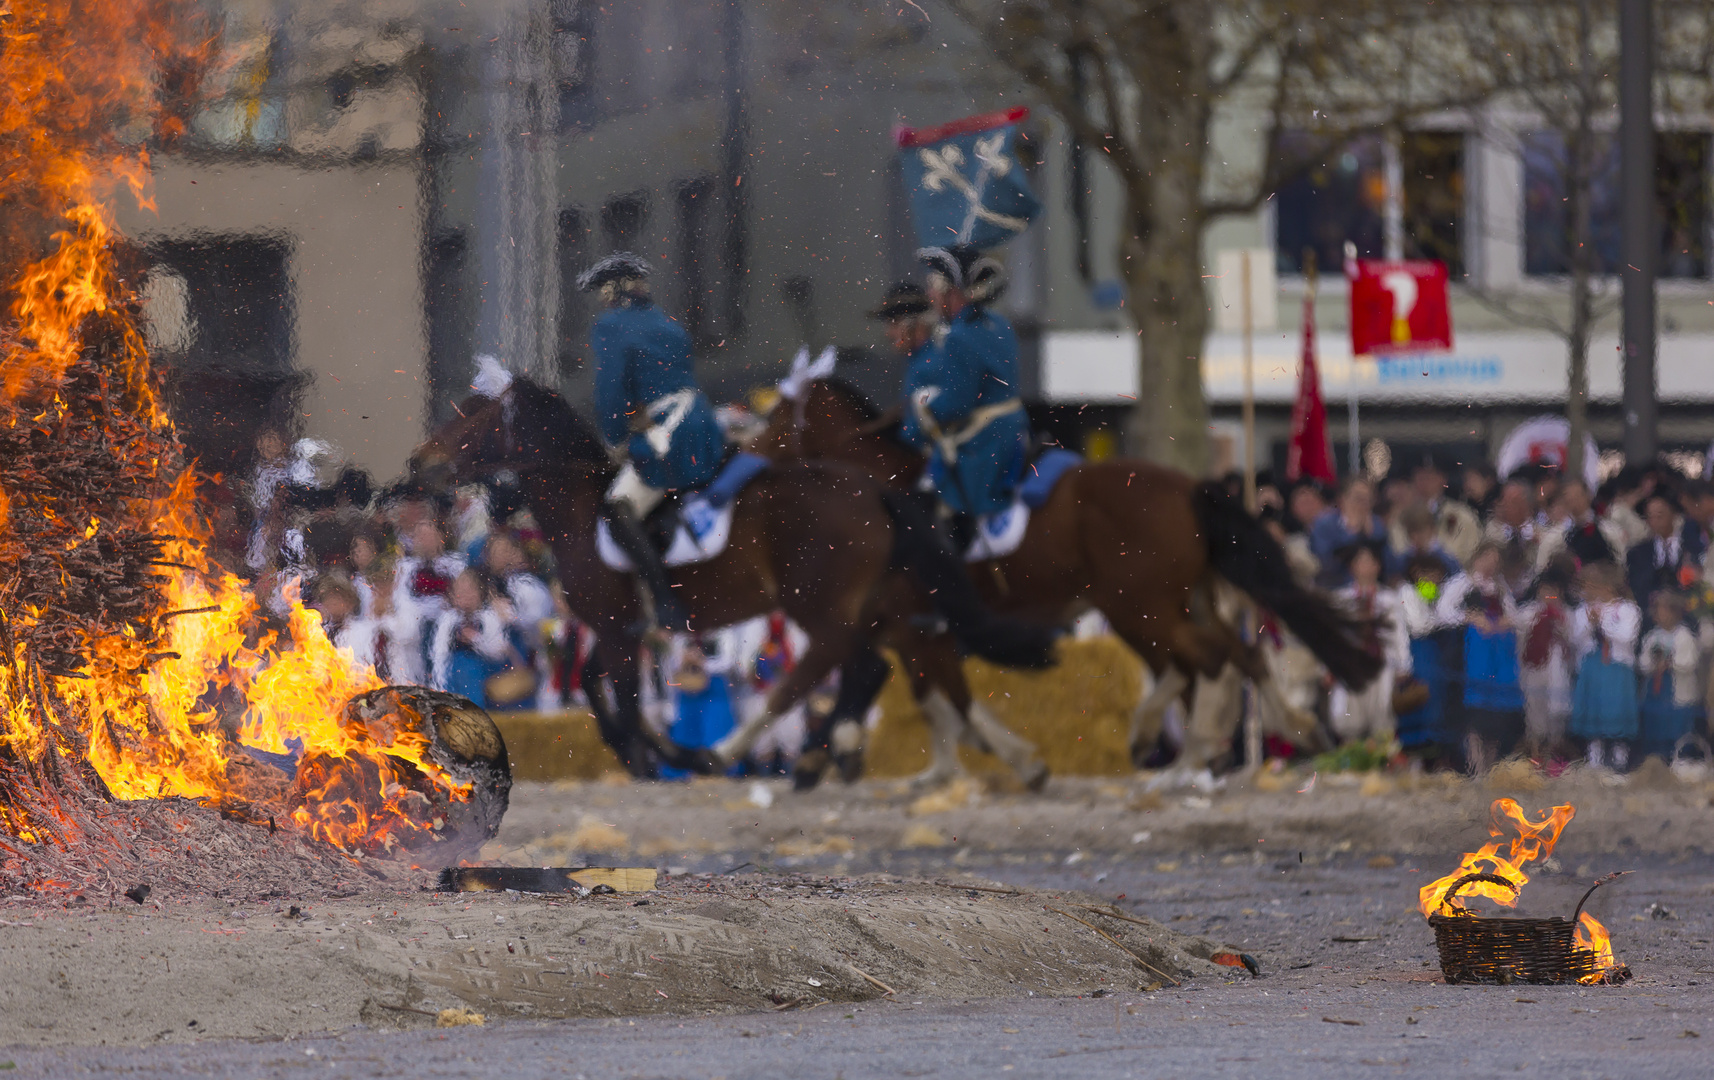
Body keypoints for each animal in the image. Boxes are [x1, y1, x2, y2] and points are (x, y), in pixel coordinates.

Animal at [413, 378, 1055, 778]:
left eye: (472, 420)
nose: (418, 464)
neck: (582, 506)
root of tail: (872, 489)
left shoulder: (619, 630)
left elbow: (621, 698)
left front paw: (653, 757)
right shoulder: (621, 630)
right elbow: (597, 687)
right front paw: (638, 752)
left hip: (818, 604)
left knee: (829, 667)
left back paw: (728, 754)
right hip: (871, 604)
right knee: (884, 663)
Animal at [757, 378, 1384, 778]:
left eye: (772, 419)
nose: (742, 463)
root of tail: (1186, 487)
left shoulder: (902, 620)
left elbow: (906, 684)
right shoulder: (911, 626)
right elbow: (934, 693)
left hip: (1139, 607)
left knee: (1204, 662)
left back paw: (1180, 747)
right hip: (1178, 604)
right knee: (1234, 656)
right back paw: (1265, 734)